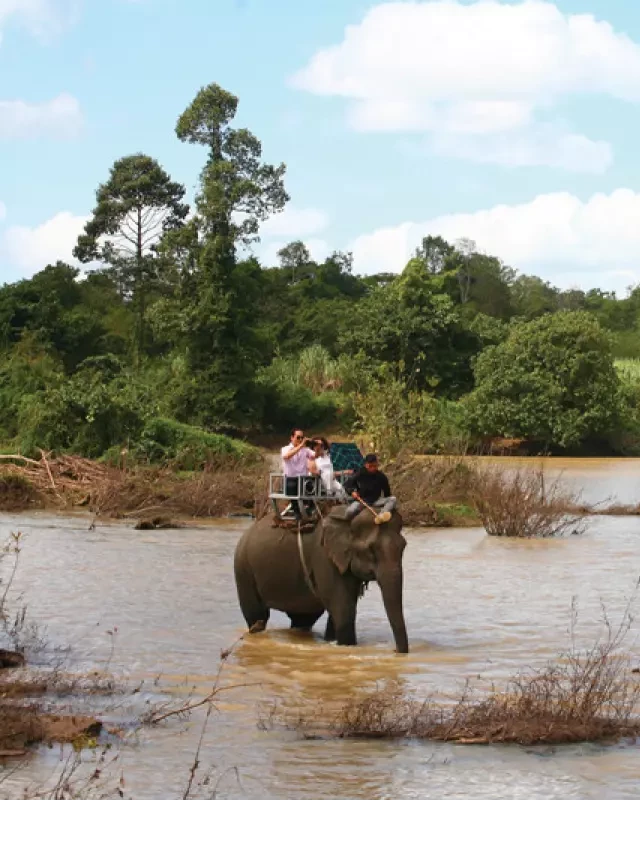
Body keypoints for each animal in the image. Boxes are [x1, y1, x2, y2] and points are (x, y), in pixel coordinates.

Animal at [232, 506, 408, 652]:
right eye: (371, 549)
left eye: (403, 547)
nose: (394, 651)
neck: (347, 520)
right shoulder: (324, 558)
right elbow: (343, 611)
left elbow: (338, 611)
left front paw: (330, 640)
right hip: (243, 568)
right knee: (257, 616)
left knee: (303, 618)